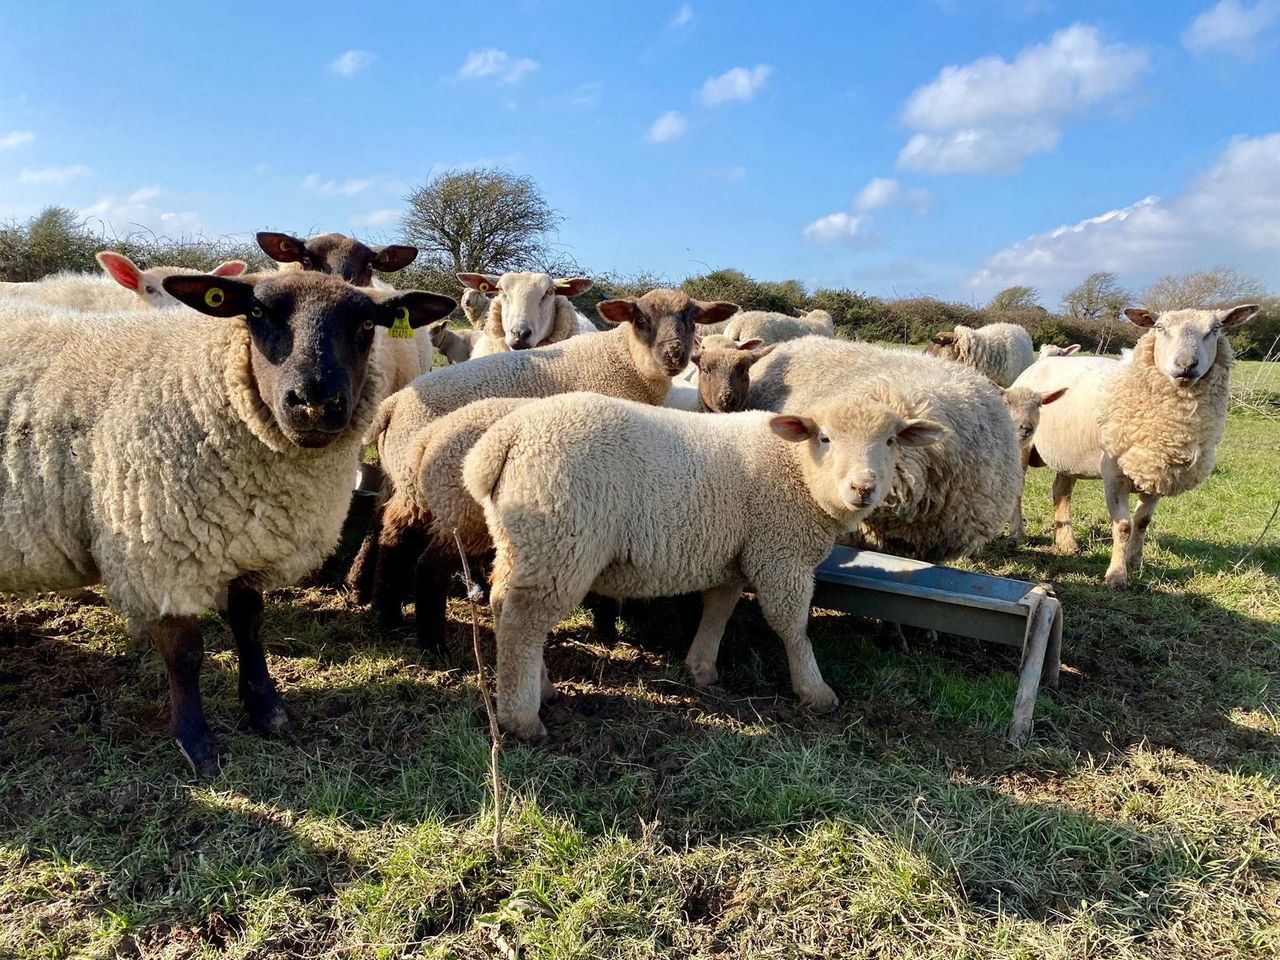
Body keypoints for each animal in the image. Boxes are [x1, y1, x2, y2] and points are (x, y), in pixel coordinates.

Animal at [0, 270, 455, 774]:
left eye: (368, 323)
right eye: (255, 312)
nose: (314, 402)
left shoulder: (248, 541)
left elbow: (249, 624)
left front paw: (266, 709)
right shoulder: (158, 554)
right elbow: (185, 655)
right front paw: (196, 742)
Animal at [362, 289, 740, 627]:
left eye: (691, 319)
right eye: (641, 320)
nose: (674, 355)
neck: (624, 361)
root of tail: (394, 404)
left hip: (409, 485)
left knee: (390, 530)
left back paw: (384, 612)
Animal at [462, 391, 946, 740]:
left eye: (890, 441)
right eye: (824, 438)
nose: (863, 488)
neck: (797, 470)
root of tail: (506, 439)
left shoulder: (733, 555)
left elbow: (719, 609)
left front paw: (702, 669)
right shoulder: (780, 552)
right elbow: (792, 626)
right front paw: (815, 690)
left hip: (523, 542)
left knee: (505, 606)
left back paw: (537, 688)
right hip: (561, 540)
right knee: (524, 621)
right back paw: (522, 719)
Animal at [1011, 304, 1258, 588]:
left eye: (1215, 329)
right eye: (1160, 327)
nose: (1186, 365)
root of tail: (1042, 361)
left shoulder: (1159, 470)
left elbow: (1142, 521)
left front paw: (1135, 562)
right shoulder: (1114, 473)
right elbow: (1123, 525)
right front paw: (1117, 575)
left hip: (1068, 455)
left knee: (1061, 492)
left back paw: (1067, 543)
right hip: (1022, 445)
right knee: (1018, 488)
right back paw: (1018, 534)